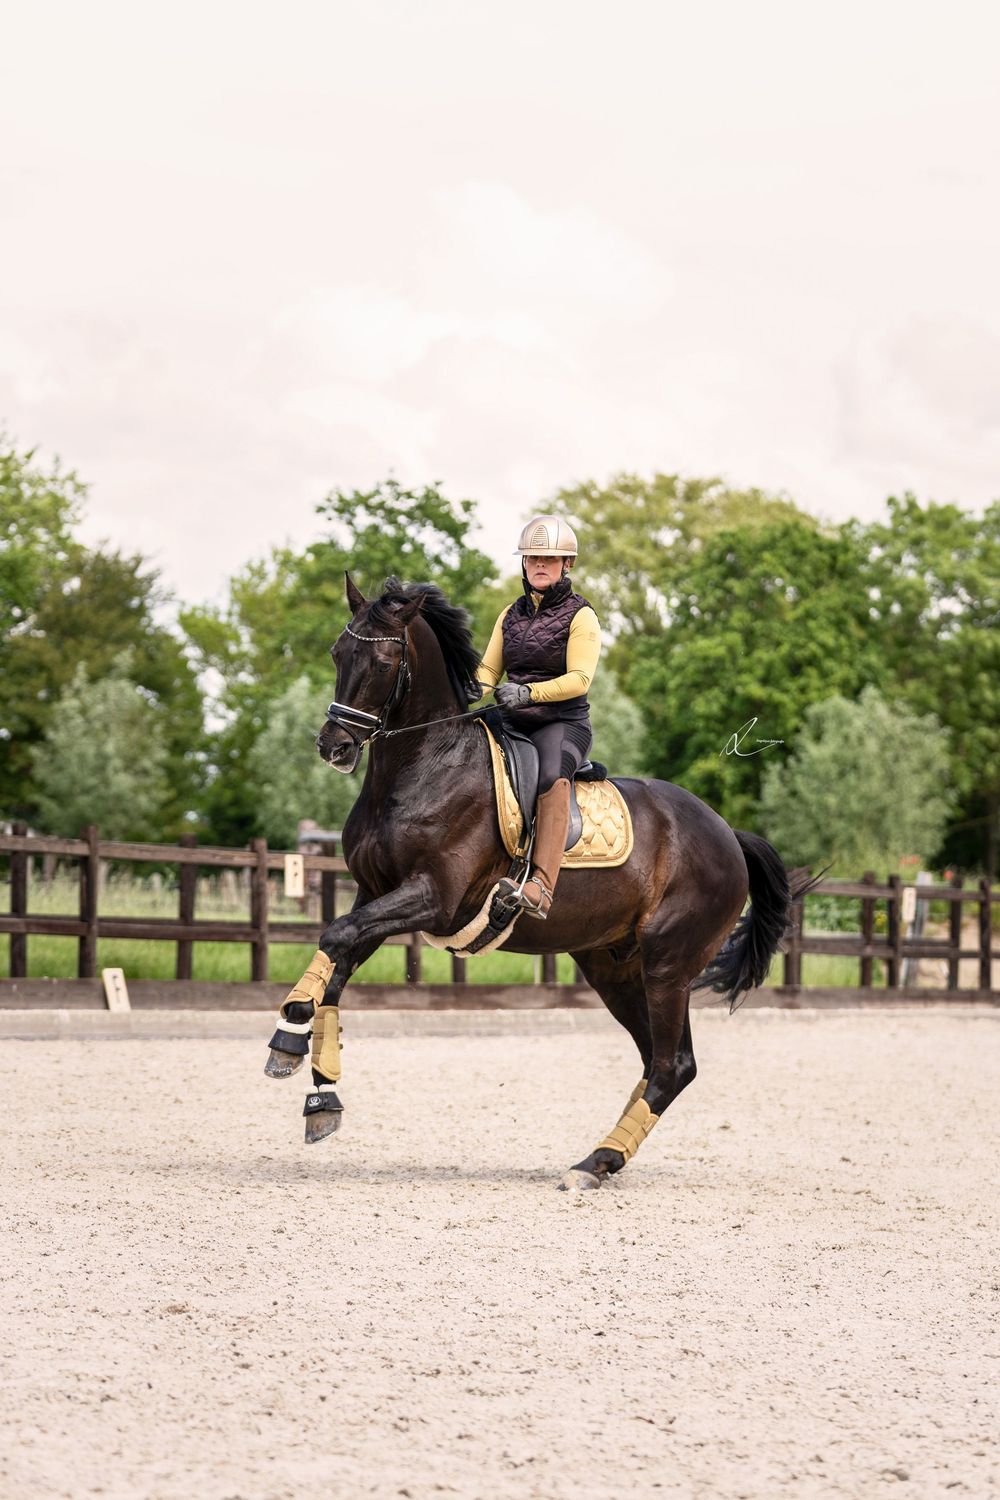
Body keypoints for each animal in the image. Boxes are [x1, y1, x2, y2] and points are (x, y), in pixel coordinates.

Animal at [264, 573, 817, 1189]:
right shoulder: (376, 896)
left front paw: (290, 1032)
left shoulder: (434, 899)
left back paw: (594, 1163)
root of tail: (726, 834)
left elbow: (336, 936)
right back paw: (605, 1158)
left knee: (672, 1066)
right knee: (659, 1060)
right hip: (615, 968)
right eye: (338, 652)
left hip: (668, 965)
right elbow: (337, 961)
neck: (422, 765)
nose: (333, 746)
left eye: (384, 660)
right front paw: (319, 1087)